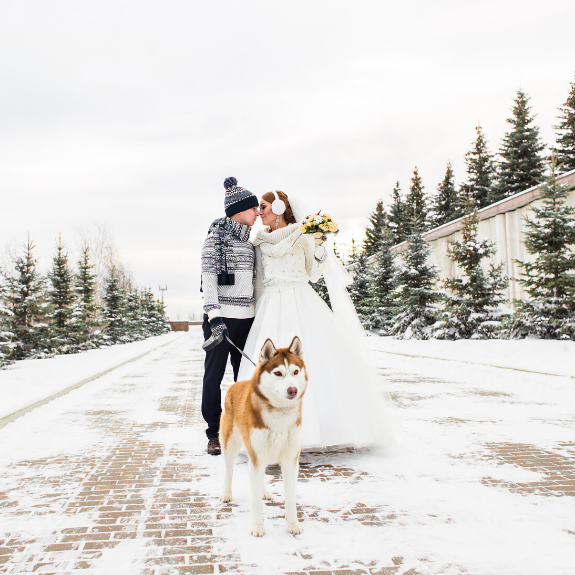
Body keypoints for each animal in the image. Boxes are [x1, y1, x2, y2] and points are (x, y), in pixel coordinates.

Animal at [219, 336, 308, 536]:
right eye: (278, 373)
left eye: (295, 371)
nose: (293, 390)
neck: (280, 414)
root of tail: (236, 384)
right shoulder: (257, 456)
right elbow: (255, 502)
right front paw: (258, 526)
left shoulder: (290, 459)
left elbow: (290, 497)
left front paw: (292, 524)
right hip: (230, 445)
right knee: (228, 469)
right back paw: (226, 493)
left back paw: (264, 491)